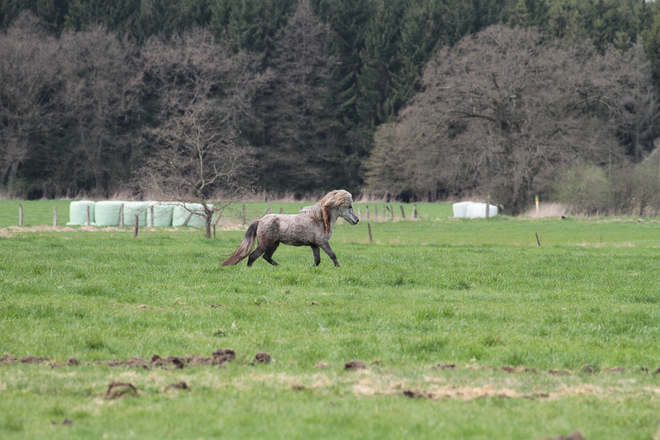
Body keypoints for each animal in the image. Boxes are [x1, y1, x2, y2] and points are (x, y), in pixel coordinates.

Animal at [222, 190, 358, 266]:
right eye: (350, 206)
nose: (356, 220)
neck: (320, 220)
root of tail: (260, 220)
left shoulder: (314, 245)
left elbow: (317, 261)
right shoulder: (322, 242)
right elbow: (332, 255)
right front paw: (338, 268)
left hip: (275, 244)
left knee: (266, 257)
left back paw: (279, 266)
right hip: (265, 244)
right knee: (253, 256)